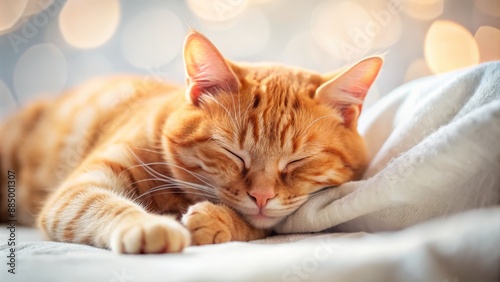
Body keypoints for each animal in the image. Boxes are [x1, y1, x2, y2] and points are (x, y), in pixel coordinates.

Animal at [0, 30, 382, 253]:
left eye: (298, 160)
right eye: (233, 153)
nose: (261, 196)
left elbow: (262, 227)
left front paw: (216, 221)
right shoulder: (77, 190)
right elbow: (102, 204)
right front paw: (149, 225)